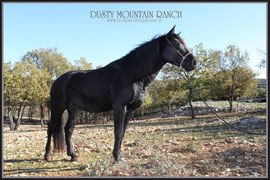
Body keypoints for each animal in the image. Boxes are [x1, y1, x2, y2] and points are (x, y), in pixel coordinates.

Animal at [44, 25, 196, 162]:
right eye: (176, 44)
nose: (193, 62)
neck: (131, 75)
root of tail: (57, 81)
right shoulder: (119, 107)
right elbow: (117, 131)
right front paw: (117, 157)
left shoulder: (129, 110)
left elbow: (123, 132)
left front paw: (119, 155)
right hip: (58, 108)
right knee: (51, 127)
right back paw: (47, 155)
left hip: (73, 110)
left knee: (68, 129)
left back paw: (72, 155)